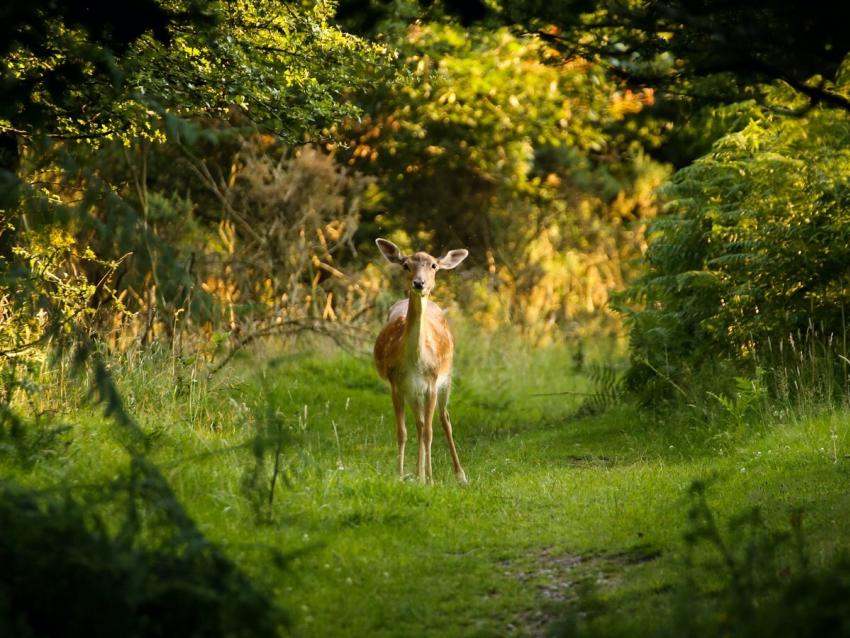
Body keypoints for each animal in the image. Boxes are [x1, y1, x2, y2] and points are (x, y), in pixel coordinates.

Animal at [373, 238, 469, 485]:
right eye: (406, 265)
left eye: (434, 265)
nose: (419, 283)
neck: (416, 362)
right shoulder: (397, 383)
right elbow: (402, 432)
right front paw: (401, 475)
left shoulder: (432, 383)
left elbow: (429, 433)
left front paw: (431, 480)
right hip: (413, 392)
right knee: (420, 424)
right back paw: (419, 474)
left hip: (447, 378)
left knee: (444, 420)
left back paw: (459, 475)